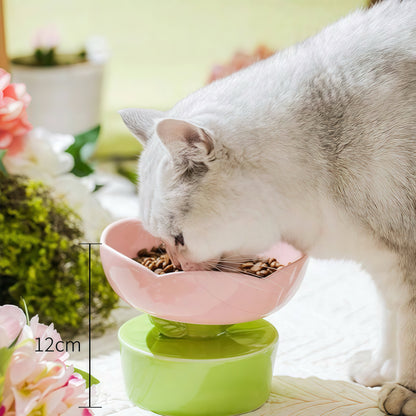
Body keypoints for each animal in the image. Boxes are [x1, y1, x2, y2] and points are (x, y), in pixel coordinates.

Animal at [120, 1, 416, 414]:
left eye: (178, 238)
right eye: (162, 243)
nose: (177, 269)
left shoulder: (402, 255)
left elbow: (408, 331)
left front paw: (405, 389)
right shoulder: (384, 260)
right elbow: (391, 320)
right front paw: (381, 370)